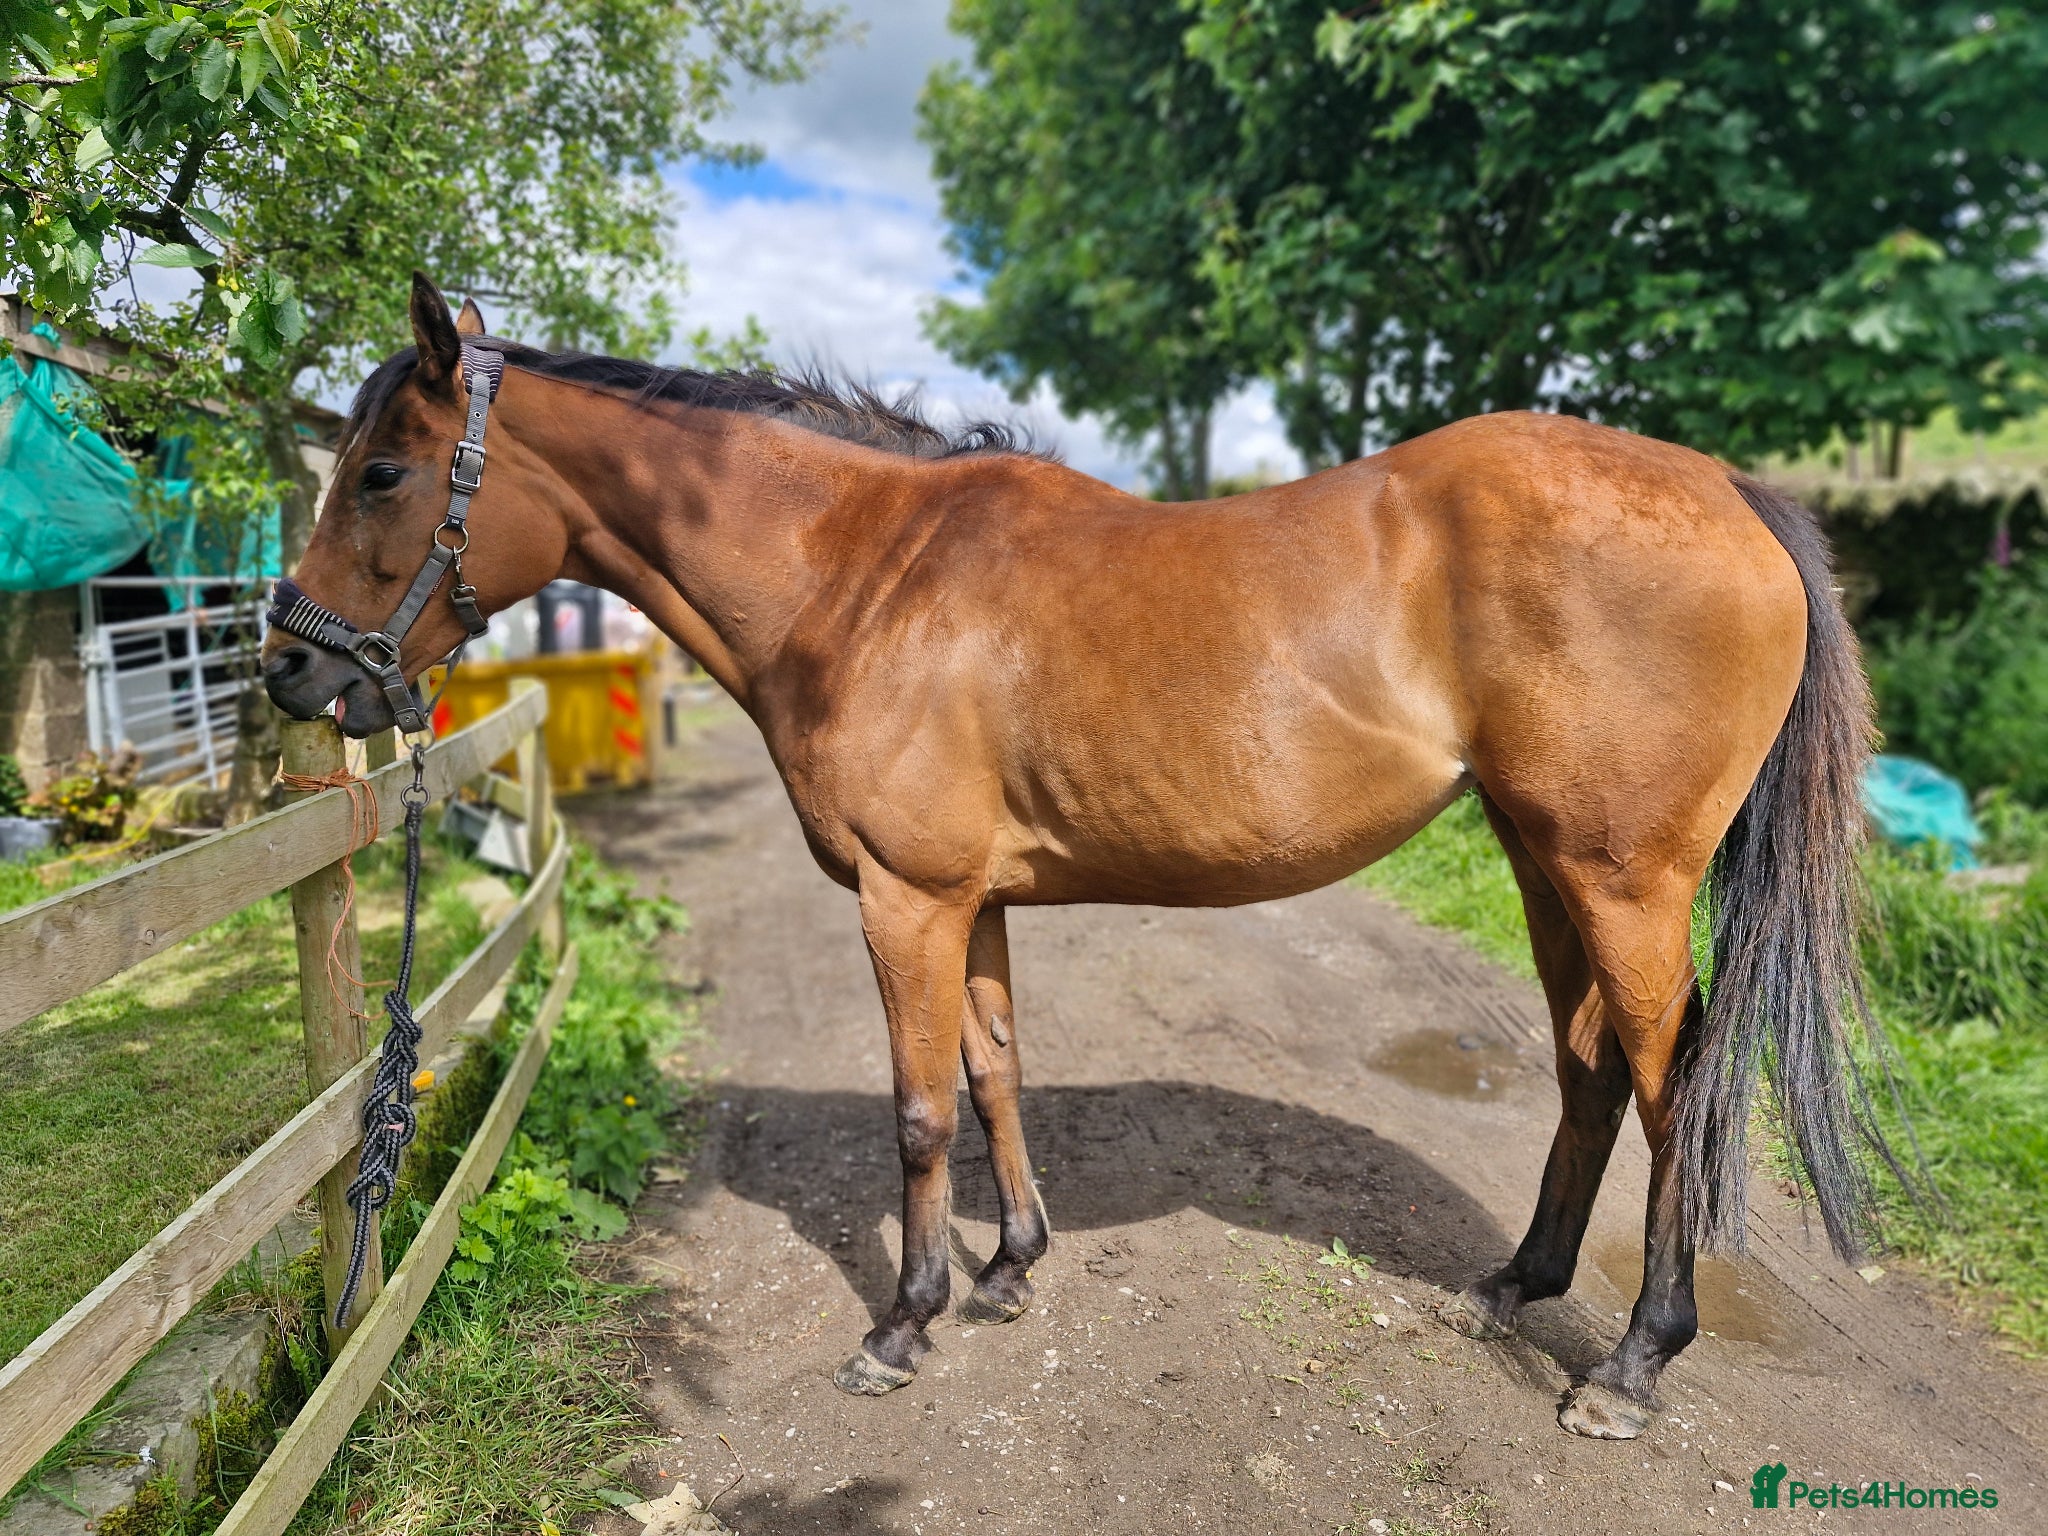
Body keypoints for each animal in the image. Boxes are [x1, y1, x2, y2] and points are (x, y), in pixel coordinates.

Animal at [264, 275, 1884, 1439]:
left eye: (385, 473)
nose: (288, 668)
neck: (862, 573)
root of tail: (1727, 491)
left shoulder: (908, 901)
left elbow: (920, 1111)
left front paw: (902, 1323)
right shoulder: (971, 901)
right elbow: (993, 1074)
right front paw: (1007, 1270)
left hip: (1623, 879)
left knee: (1676, 1090)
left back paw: (1631, 1366)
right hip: (1546, 862)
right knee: (1590, 1068)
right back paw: (1520, 1284)